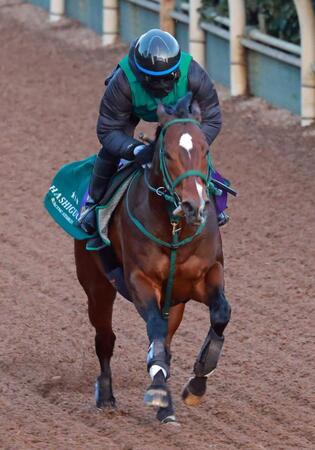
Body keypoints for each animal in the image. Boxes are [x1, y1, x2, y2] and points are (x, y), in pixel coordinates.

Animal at [75, 93, 231, 424]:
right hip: (96, 285)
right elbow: (155, 334)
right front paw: (159, 391)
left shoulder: (206, 275)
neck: (175, 230)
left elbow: (221, 314)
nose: (193, 205)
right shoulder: (140, 281)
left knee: (166, 342)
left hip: (176, 303)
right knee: (105, 338)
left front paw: (197, 383)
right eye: (168, 154)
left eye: (205, 150)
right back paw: (107, 395)